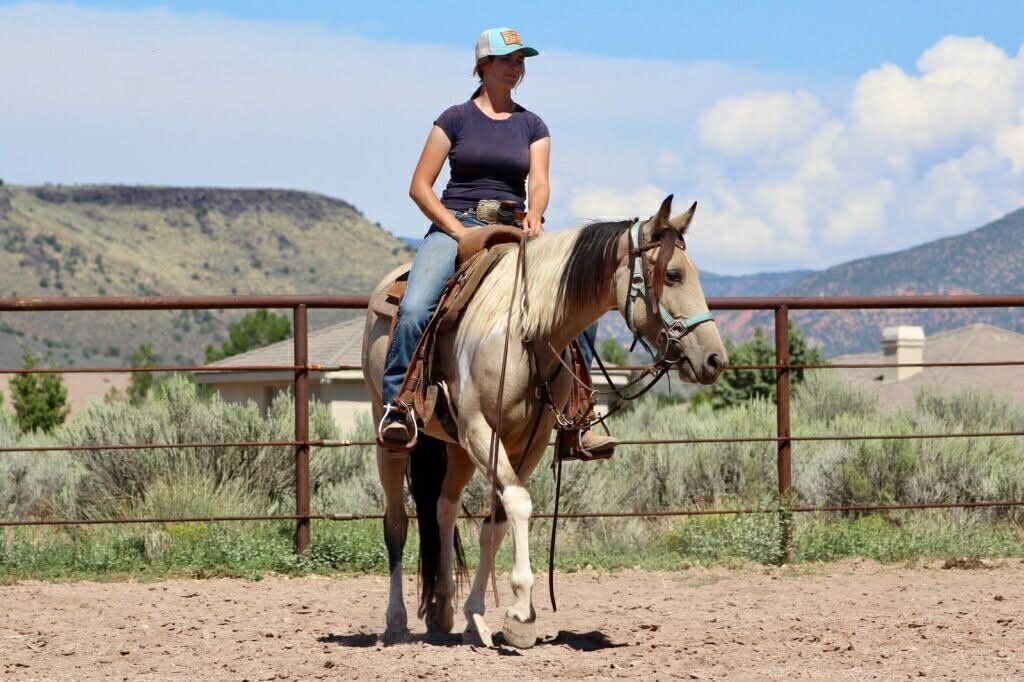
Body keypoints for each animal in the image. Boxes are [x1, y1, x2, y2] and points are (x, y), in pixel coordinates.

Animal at [360, 195, 727, 648]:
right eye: (673, 275)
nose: (715, 359)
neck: (525, 329)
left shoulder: (528, 442)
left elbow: (496, 523)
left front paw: (479, 615)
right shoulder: (481, 430)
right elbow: (517, 503)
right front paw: (521, 613)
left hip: (455, 445)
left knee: (444, 510)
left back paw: (443, 611)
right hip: (392, 436)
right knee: (396, 520)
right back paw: (395, 619)